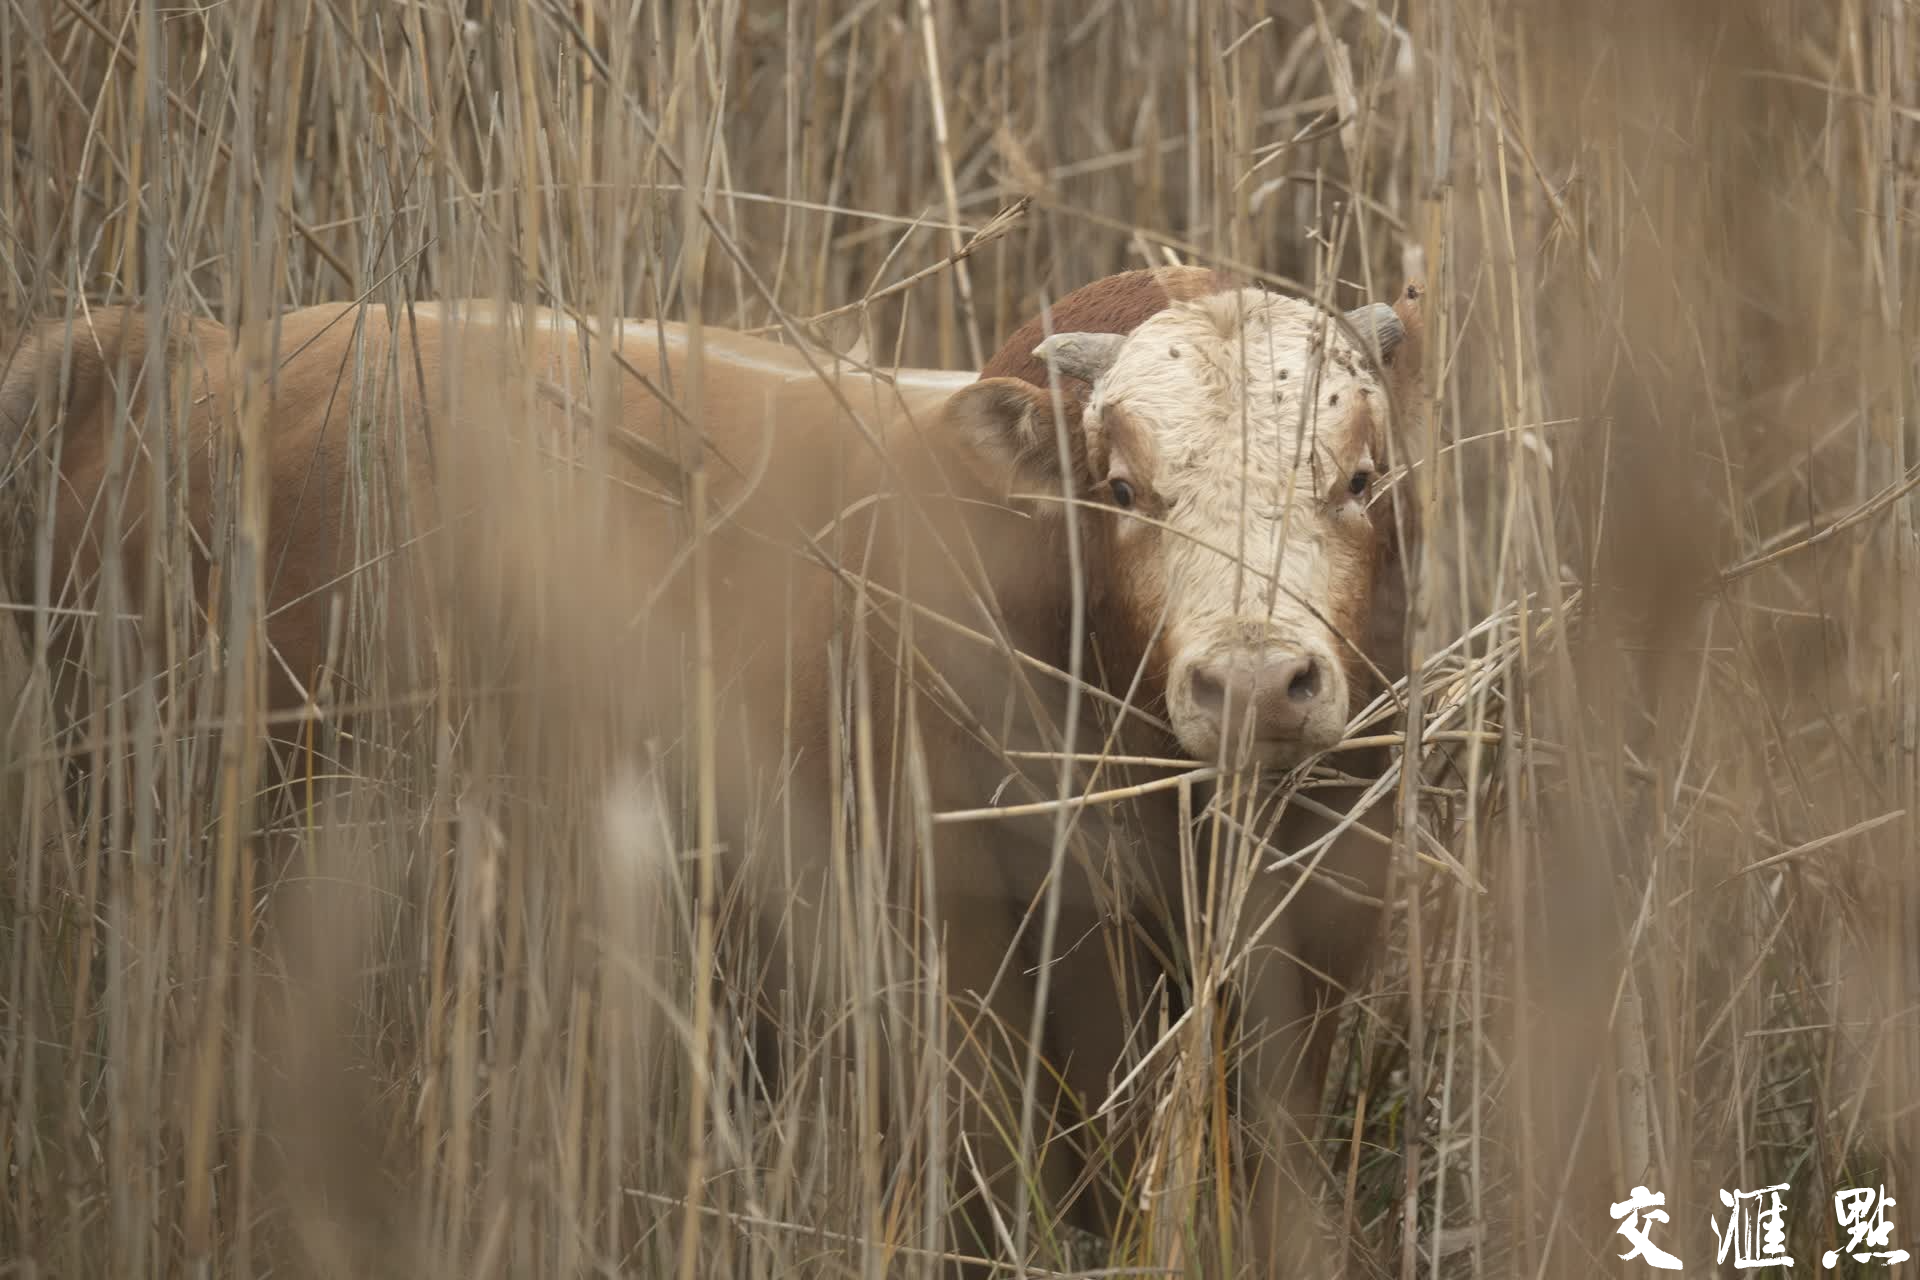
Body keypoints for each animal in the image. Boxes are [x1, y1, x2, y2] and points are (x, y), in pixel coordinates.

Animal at [0, 268, 1428, 1274]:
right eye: (1123, 488)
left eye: (1361, 480)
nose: (1255, 679)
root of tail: (174, 342)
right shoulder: (948, 998)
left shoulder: (1298, 1002)